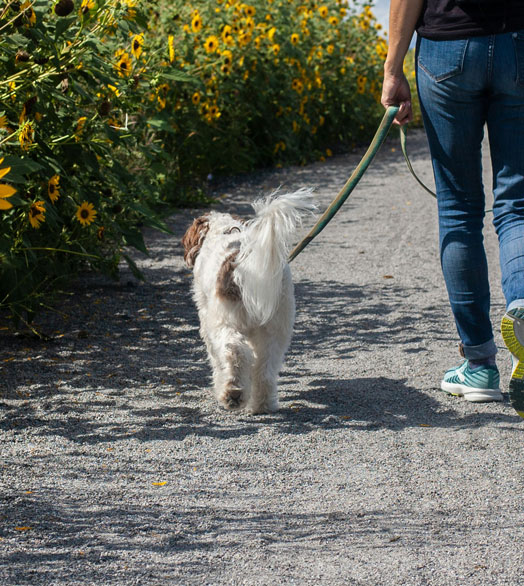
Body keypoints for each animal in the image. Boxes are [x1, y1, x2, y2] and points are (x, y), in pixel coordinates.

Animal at [182, 189, 316, 412]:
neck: (223, 230)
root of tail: (243, 264)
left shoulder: (207, 321)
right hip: (276, 328)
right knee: (265, 369)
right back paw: (262, 404)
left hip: (225, 323)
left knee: (235, 352)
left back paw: (233, 393)